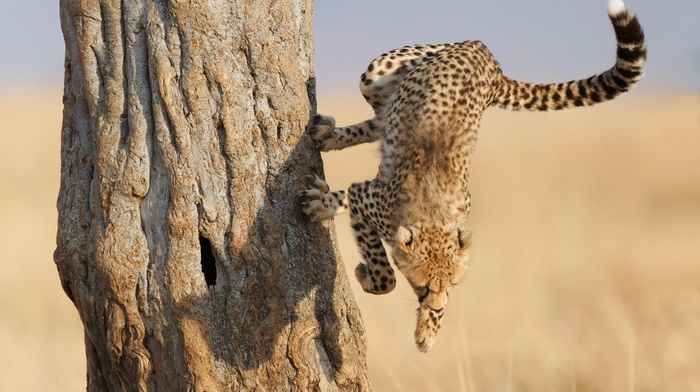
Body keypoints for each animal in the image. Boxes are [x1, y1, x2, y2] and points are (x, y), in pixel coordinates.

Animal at [300, 0, 644, 352]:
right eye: (422, 286)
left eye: (451, 283)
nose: (437, 305)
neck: (433, 216)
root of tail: (489, 58)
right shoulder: (367, 198)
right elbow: (385, 275)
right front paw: (363, 268)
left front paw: (428, 330)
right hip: (378, 71)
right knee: (380, 115)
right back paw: (331, 141)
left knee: (382, 119)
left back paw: (330, 138)